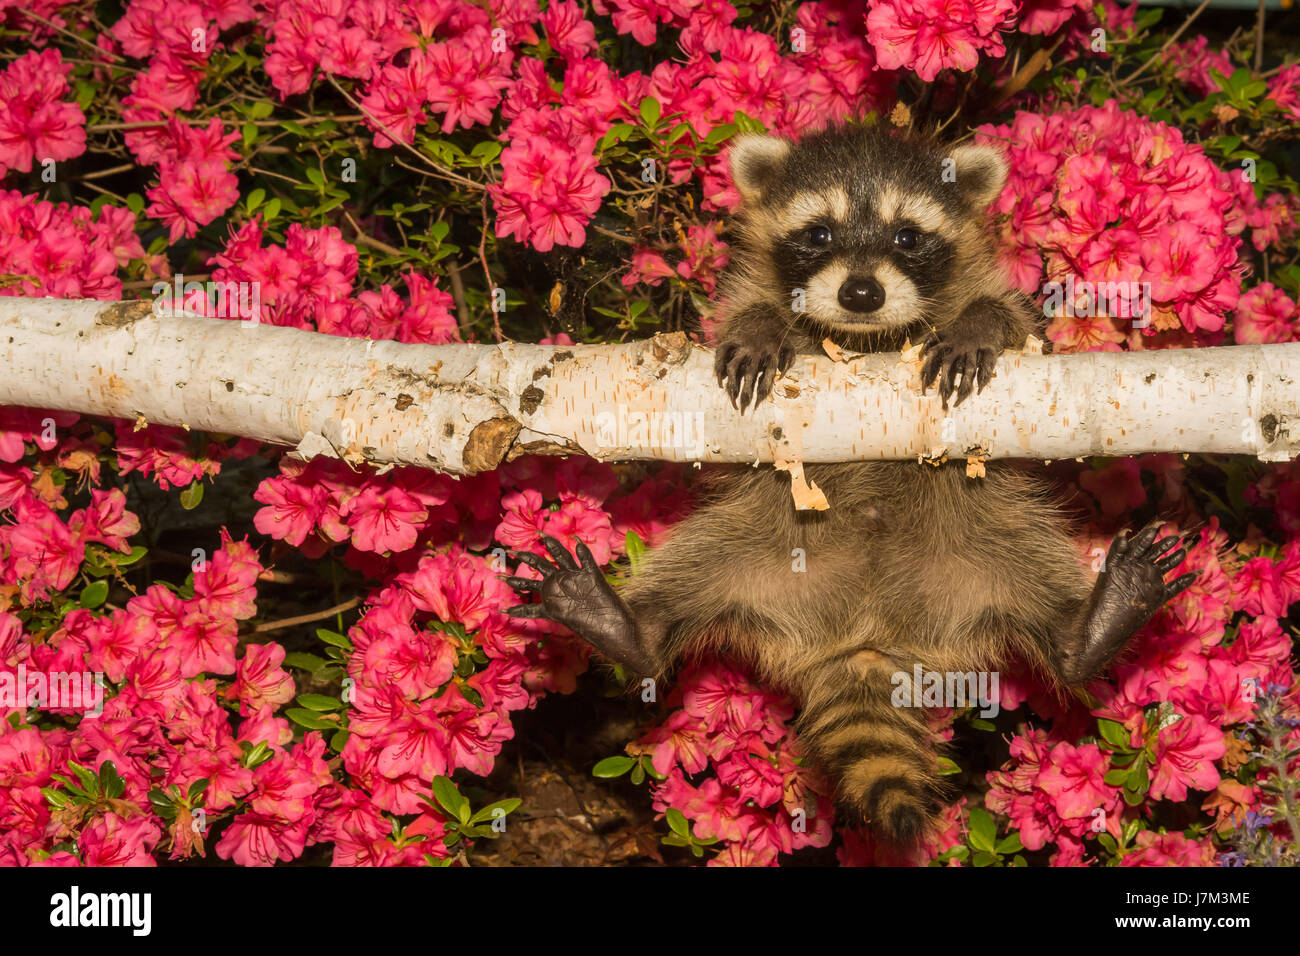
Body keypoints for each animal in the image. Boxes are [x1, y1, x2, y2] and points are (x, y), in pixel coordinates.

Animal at [501, 123, 1190, 848]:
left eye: (908, 236)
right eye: (820, 233)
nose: (861, 294)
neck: (865, 338)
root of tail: (864, 641)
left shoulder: (999, 303)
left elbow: (1011, 317)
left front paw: (976, 324)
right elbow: (746, 311)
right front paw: (760, 328)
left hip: (984, 547)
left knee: (1038, 578)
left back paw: (1090, 626)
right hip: (754, 547)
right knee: (690, 572)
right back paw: (627, 625)